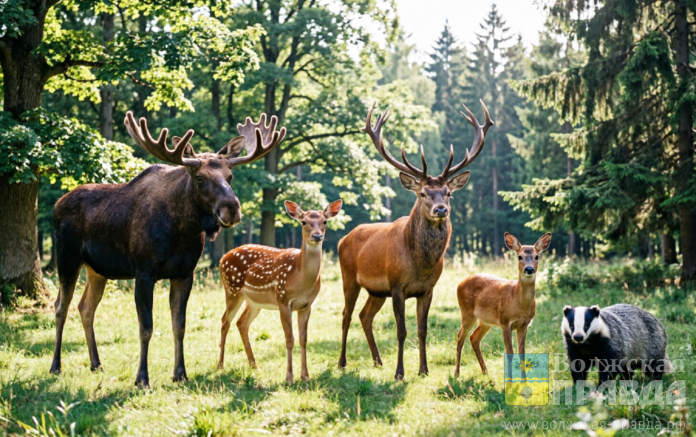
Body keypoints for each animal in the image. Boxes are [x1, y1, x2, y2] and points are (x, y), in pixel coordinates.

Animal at [51, 112, 285, 387]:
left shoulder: (184, 273)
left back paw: (96, 364)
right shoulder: (143, 272)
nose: (231, 209)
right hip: (66, 257)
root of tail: (57, 205)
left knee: (85, 307)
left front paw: (180, 373)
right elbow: (146, 327)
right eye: (200, 177)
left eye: (230, 176)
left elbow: (179, 325)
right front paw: (142, 378)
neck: (181, 232)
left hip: (97, 269)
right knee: (60, 307)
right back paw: (55, 367)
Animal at [217, 199, 343, 384]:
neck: (301, 279)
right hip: (232, 289)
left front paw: (305, 376)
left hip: (253, 302)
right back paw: (220, 365)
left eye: (325, 221)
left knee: (241, 323)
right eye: (303, 222)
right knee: (225, 320)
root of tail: (222, 258)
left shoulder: (307, 305)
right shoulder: (283, 299)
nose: (317, 236)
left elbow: (303, 339)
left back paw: (254, 365)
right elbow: (289, 338)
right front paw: (289, 377)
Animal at [337, 101, 494, 380]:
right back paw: (342, 362)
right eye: (423, 193)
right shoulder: (397, 286)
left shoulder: (427, 289)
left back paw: (378, 361)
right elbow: (401, 331)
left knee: (365, 316)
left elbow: (423, 330)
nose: (441, 209)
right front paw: (400, 373)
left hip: (377, 290)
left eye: (448, 192)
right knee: (346, 315)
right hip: (349, 277)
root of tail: (343, 239)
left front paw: (423, 369)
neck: (420, 264)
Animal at [454, 232, 552, 378]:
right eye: (520, 256)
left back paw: (485, 372)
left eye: (537, 256)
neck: (519, 304)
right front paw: (510, 381)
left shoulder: (524, 325)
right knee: (460, 336)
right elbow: (510, 353)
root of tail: (460, 283)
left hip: (485, 321)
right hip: (467, 312)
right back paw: (456, 373)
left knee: (474, 338)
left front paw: (524, 381)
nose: (529, 269)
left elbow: (522, 353)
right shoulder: (505, 321)